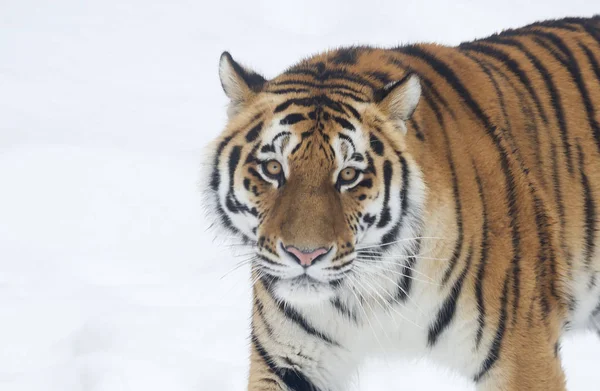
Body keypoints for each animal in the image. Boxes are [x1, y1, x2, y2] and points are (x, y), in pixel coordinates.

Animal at [202, 16, 600, 391]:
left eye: (348, 174)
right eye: (273, 168)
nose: (305, 255)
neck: (370, 291)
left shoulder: (521, 350)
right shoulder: (289, 361)